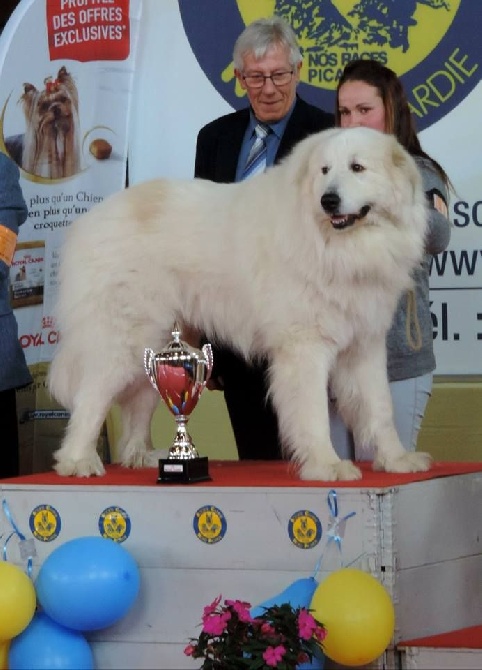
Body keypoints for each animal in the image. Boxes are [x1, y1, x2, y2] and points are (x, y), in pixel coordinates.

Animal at [49, 126, 434, 480]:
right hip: (125, 339)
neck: (340, 248)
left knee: (136, 405)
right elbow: (313, 413)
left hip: (155, 346)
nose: (328, 200)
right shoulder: (304, 347)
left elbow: (380, 408)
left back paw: (139, 456)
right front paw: (327, 465)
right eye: (325, 171)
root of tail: (86, 222)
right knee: (90, 398)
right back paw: (77, 461)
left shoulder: (364, 346)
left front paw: (397, 459)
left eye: (357, 167)